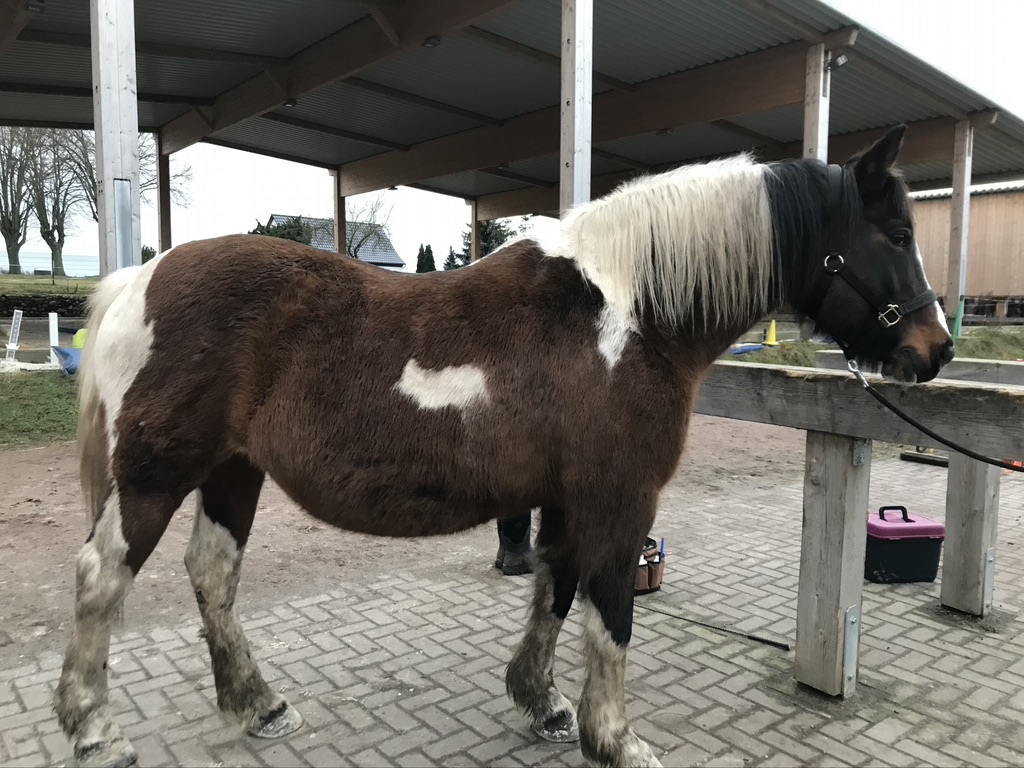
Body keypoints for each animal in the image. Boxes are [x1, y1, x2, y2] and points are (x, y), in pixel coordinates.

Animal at [54, 123, 950, 765]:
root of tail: (139, 280)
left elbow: (556, 590)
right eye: (895, 234)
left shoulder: (566, 498)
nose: (935, 349)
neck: (626, 314)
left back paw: (259, 704)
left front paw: (543, 704)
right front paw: (615, 739)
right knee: (101, 579)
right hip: (155, 476)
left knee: (213, 577)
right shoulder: (620, 501)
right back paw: (94, 729)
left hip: (233, 473)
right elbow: (611, 614)